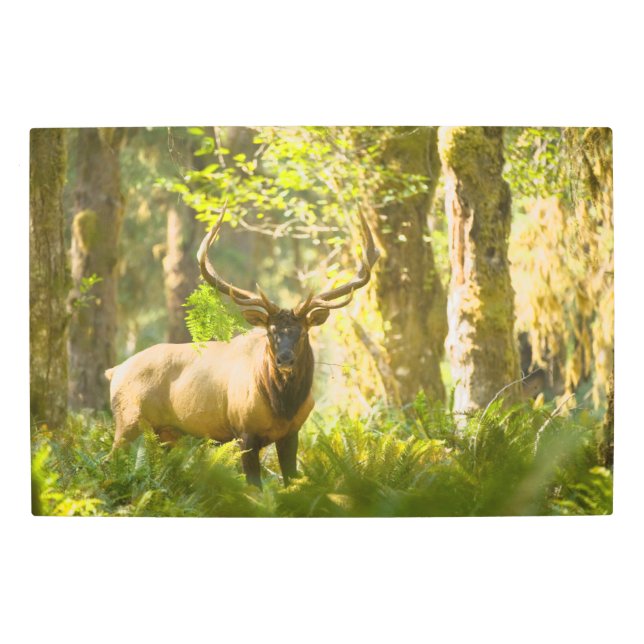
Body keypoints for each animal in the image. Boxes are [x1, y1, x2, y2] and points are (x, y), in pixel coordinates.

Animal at [105, 205, 380, 488]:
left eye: (303, 332)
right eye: (270, 332)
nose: (285, 359)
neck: (282, 406)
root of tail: (114, 371)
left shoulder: (291, 432)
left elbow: (290, 480)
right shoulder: (243, 431)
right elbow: (254, 487)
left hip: (166, 434)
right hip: (128, 421)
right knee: (108, 461)